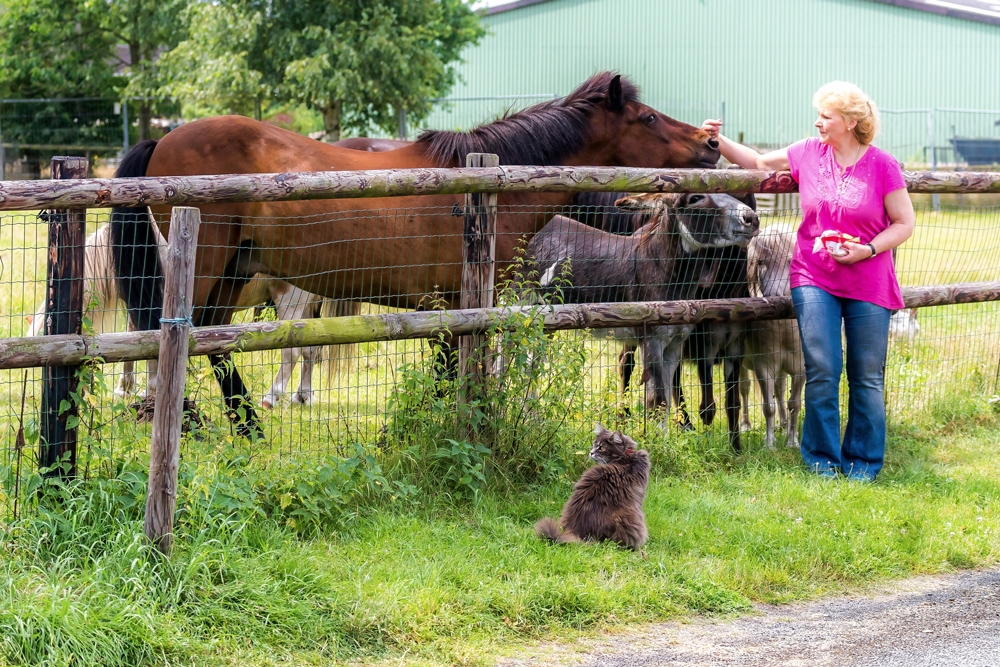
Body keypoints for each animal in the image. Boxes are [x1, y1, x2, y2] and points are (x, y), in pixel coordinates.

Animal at [111, 74, 720, 438]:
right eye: (647, 118)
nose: (712, 144)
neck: (480, 189)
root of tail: (164, 139)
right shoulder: (451, 308)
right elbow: (451, 379)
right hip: (207, 266)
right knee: (181, 338)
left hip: (236, 272)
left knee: (215, 342)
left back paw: (242, 427)